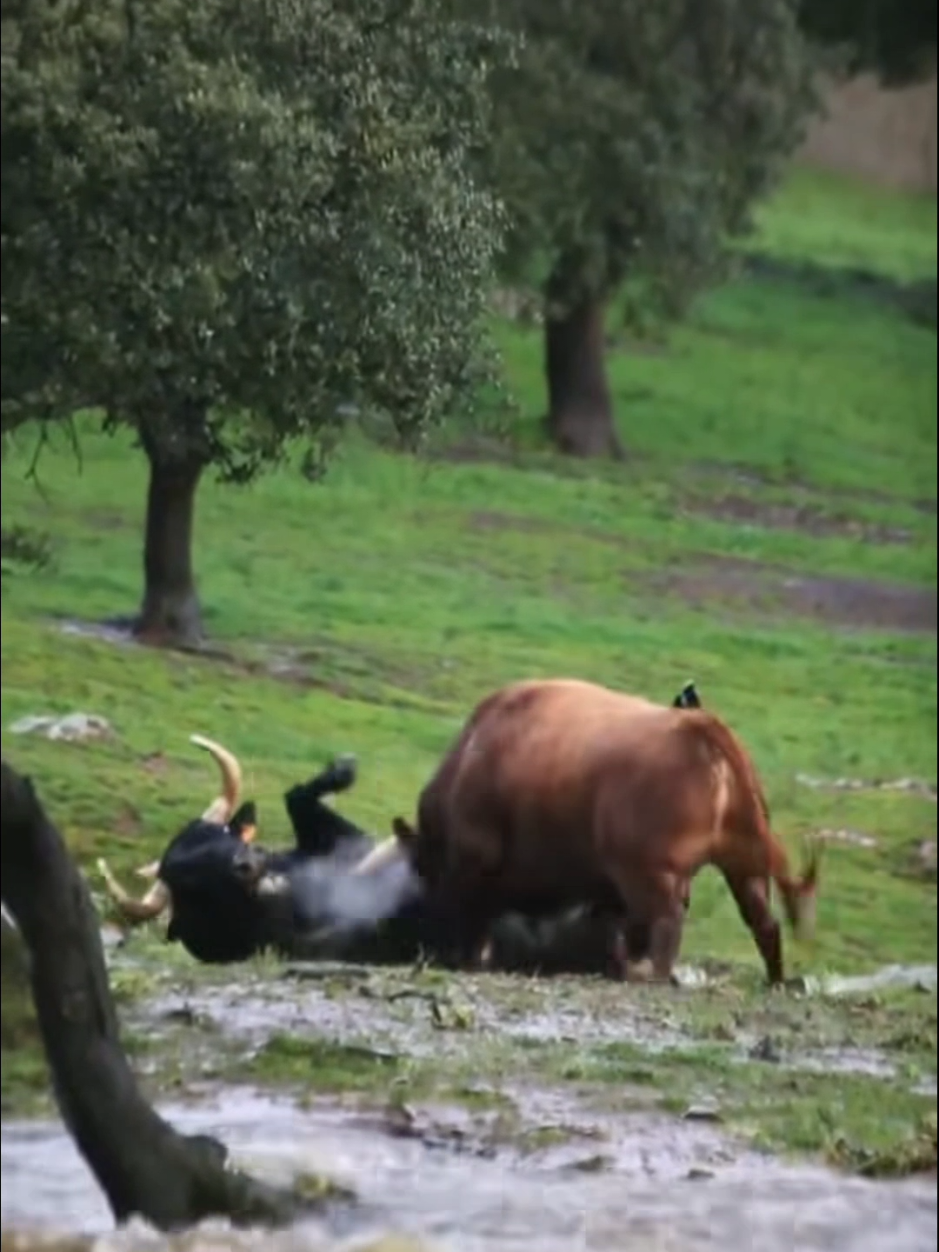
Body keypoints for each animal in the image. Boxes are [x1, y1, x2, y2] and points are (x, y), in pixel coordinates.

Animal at [390, 677, 820, 986]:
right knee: (764, 923)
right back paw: (775, 981)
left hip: (654, 875)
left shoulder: (475, 862)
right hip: (744, 866)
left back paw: (649, 976)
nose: (432, 946)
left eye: (424, 871)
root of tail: (701, 728)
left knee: (668, 926)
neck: (471, 759)